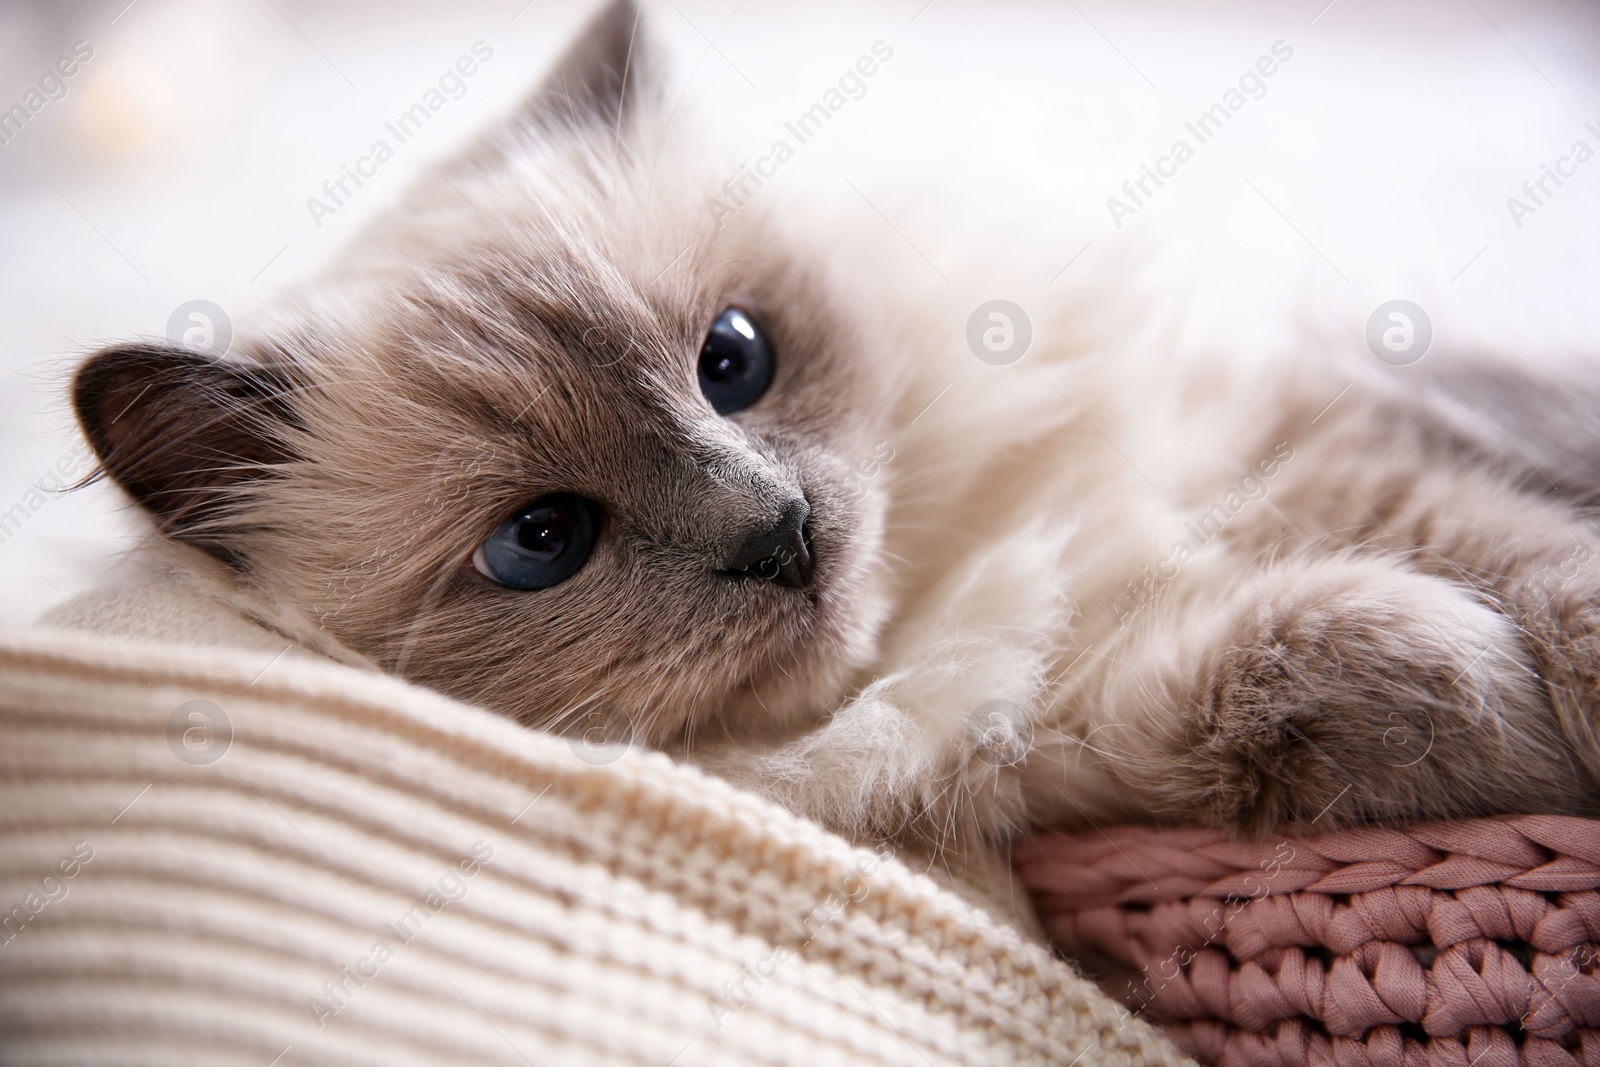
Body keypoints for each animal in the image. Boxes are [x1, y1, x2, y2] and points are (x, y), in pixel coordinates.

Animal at [68, 0, 1600, 921]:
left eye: (732, 361)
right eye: (542, 542)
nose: (781, 530)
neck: (949, 609)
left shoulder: (1293, 443)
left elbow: (1544, 568)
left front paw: (1558, 687)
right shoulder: (1076, 727)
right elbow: (1330, 666)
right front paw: (1503, 713)